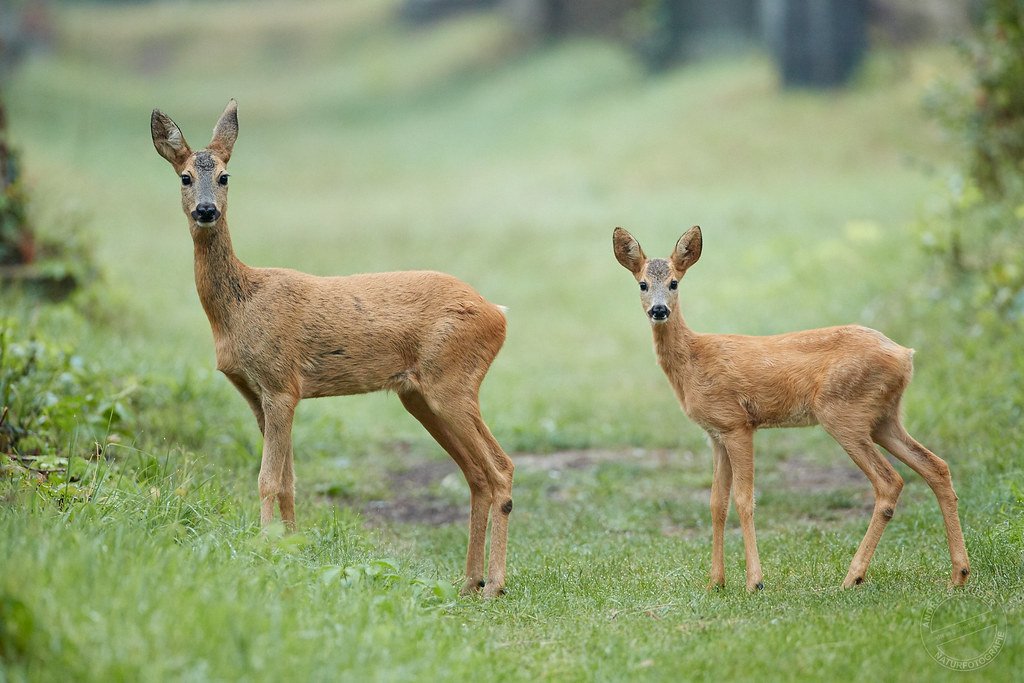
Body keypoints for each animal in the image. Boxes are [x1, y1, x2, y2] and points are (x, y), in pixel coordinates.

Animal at [151, 100, 514, 598]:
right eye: (185, 177)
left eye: (225, 176)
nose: (206, 210)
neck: (240, 306)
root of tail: (498, 313)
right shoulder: (255, 393)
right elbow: (288, 480)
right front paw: (291, 547)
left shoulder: (282, 384)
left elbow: (267, 479)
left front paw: (265, 548)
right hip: (420, 395)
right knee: (477, 475)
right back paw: (468, 582)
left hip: (453, 382)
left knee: (501, 468)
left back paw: (494, 585)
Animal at [613, 225, 970, 591]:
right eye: (642, 284)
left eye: (674, 283)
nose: (659, 310)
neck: (694, 360)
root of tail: (905, 356)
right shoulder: (715, 433)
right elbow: (716, 503)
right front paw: (715, 583)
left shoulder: (737, 423)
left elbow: (744, 500)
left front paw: (754, 582)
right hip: (884, 417)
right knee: (935, 466)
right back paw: (959, 574)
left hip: (843, 413)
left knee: (890, 481)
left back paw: (853, 576)